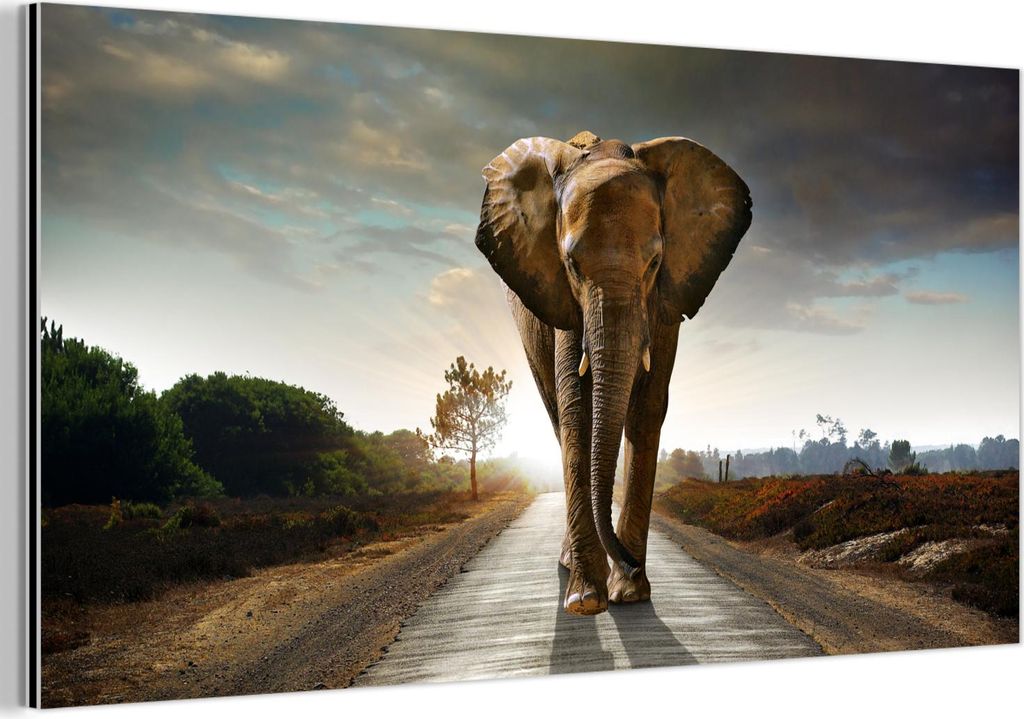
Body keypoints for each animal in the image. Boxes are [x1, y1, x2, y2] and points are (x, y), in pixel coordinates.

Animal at [474, 130, 751, 615]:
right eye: (571, 264)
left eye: (655, 263)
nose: (630, 564)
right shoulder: (563, 301)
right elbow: (577, 410)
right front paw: (587, 600)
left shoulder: (666, 300)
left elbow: (647, 409)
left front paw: (632, 593)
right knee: (558, 418)